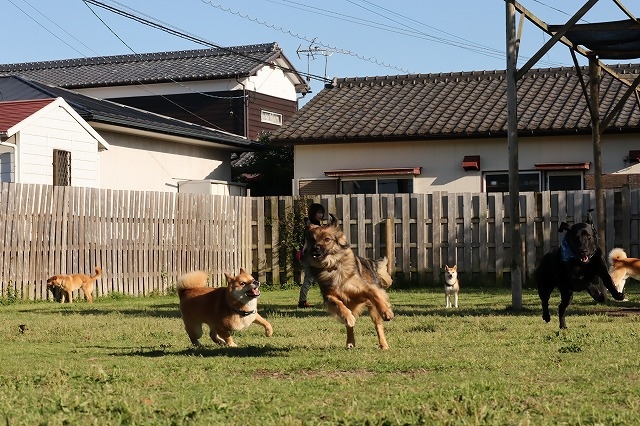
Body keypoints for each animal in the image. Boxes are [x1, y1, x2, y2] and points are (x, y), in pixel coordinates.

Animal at [303, 214, 394, 350]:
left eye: (327, 239)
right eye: (313, 240)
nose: (315, 249)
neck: (332, 266)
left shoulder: (366, 288)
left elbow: (376, 296)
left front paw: (387, 312)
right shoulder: (328, 295)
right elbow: (339, 304)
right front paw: (348, 317)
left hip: (372, 309)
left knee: (378, 325)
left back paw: (383, 344)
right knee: (349, 326)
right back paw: (350, 340)